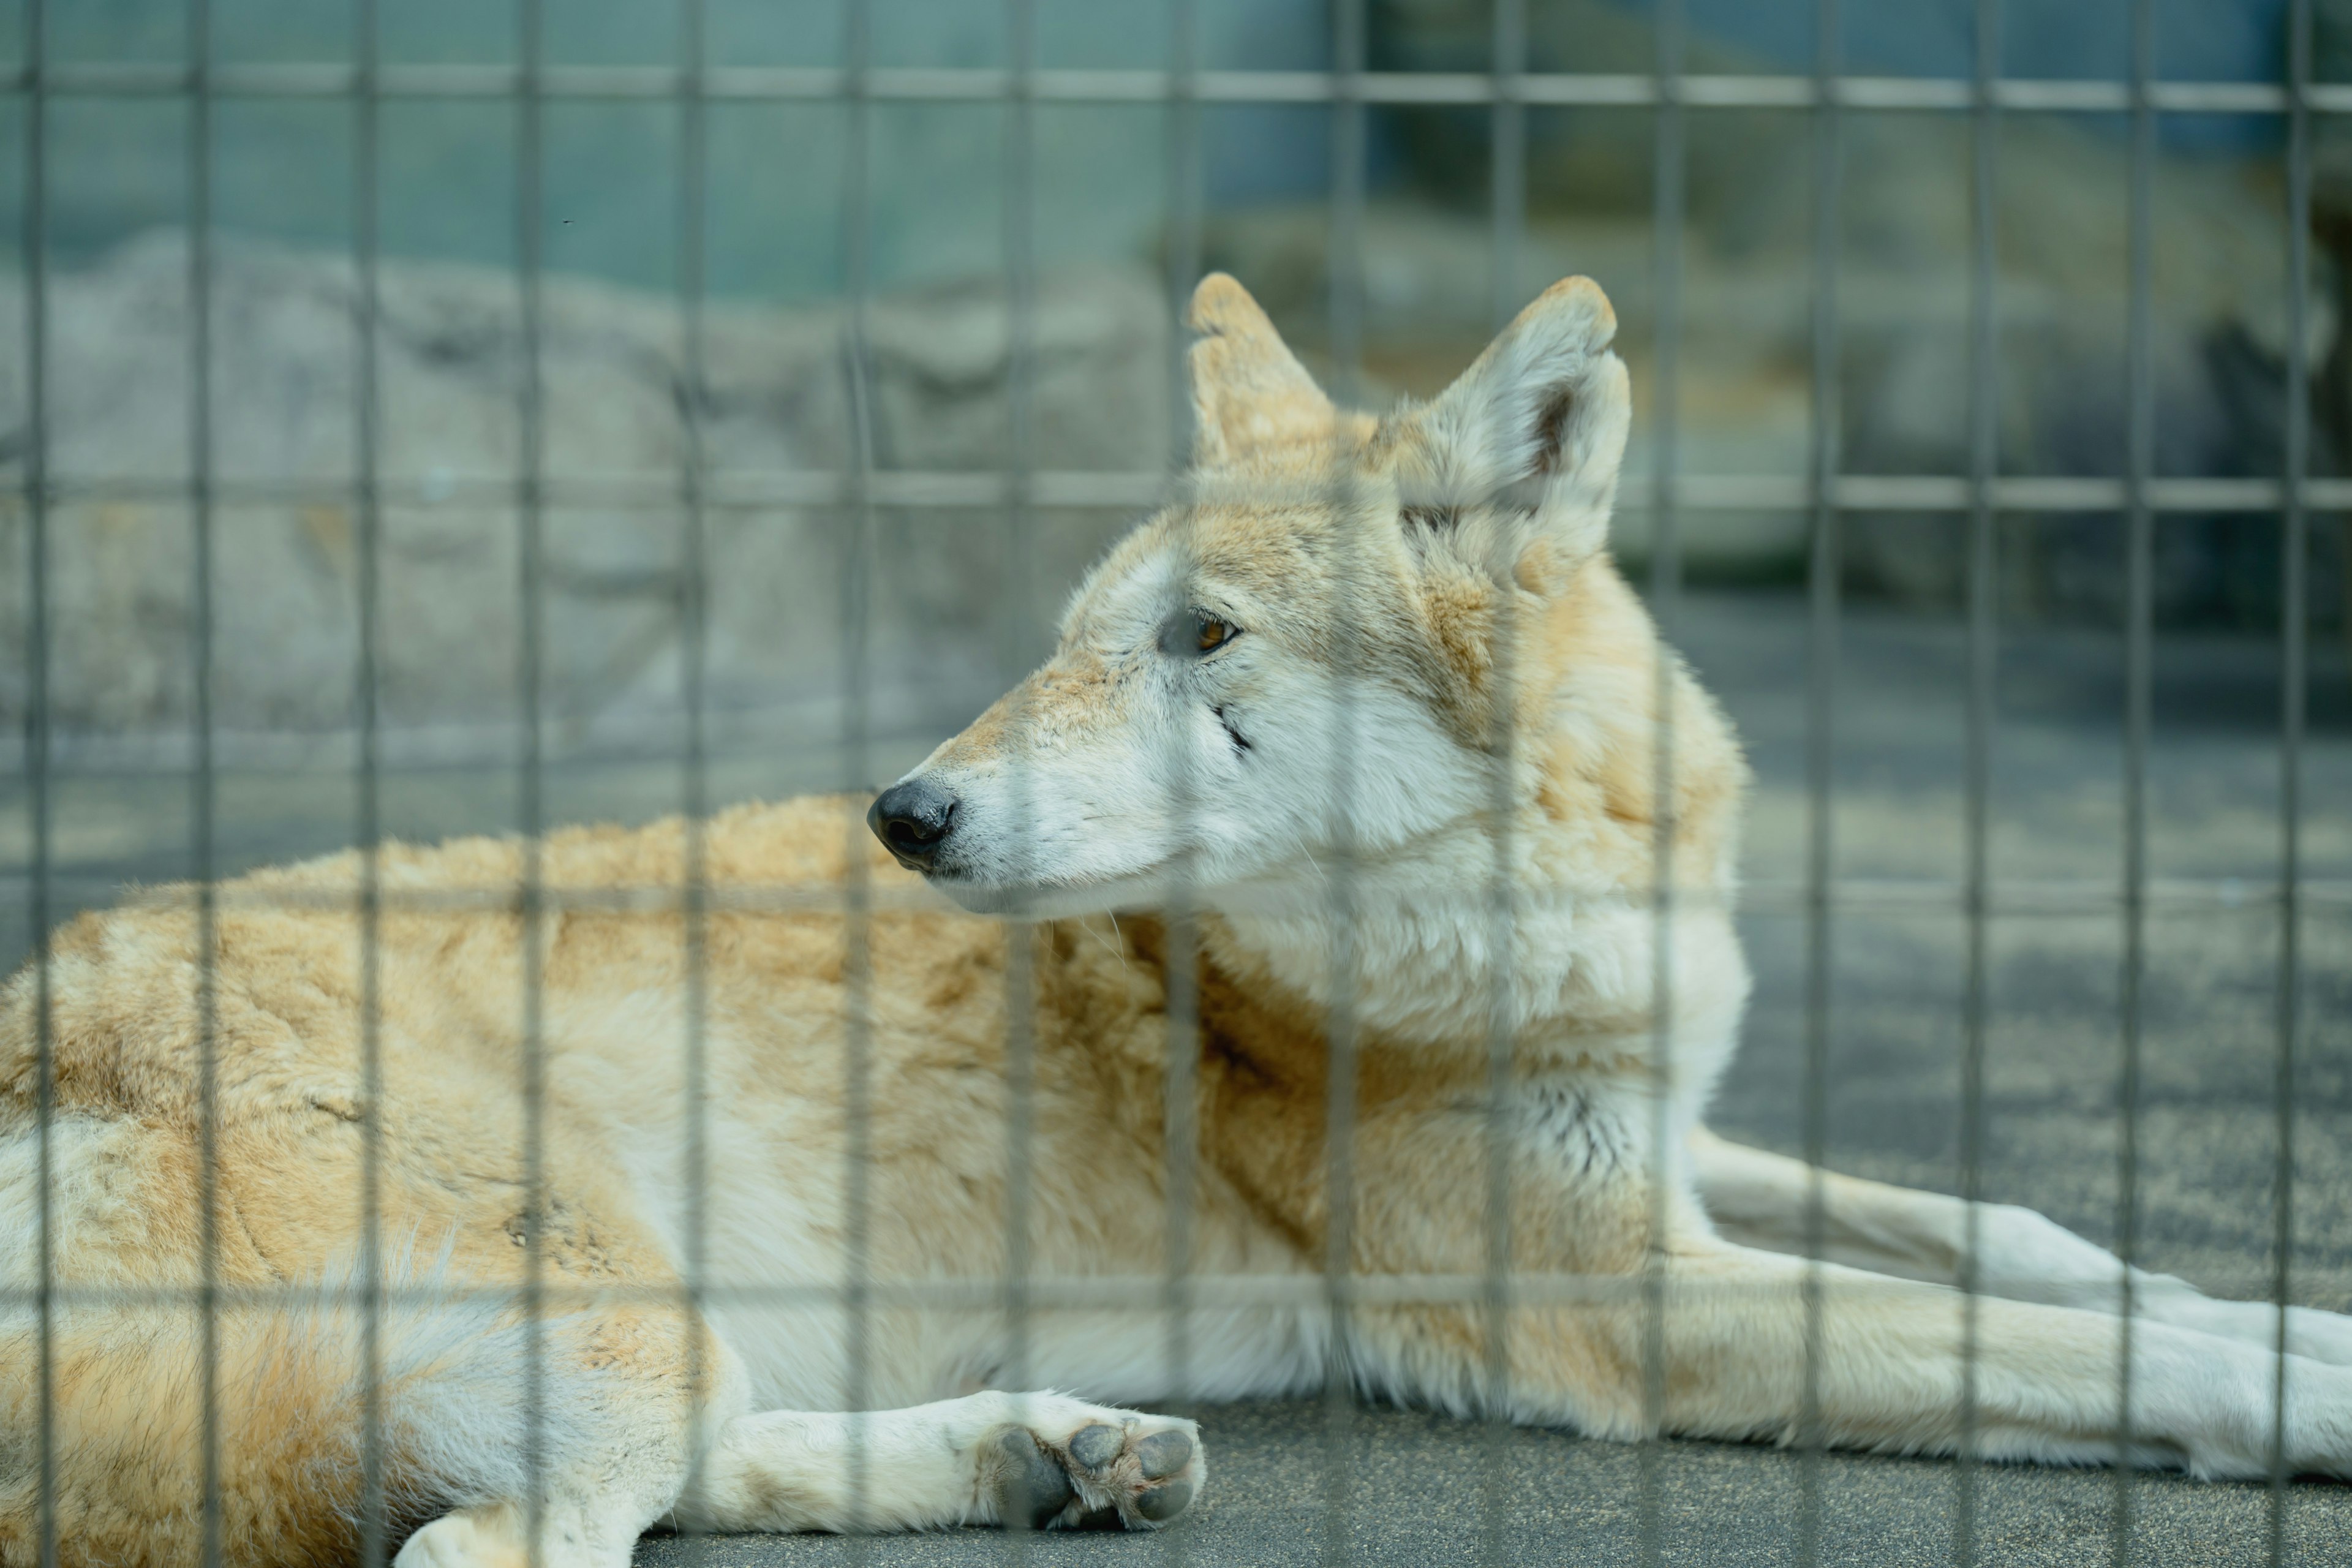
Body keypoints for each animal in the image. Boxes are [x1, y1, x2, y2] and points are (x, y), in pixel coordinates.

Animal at [4, 276, 2352, 1561]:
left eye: (1200, 636)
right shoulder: (1620, 1289)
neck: (1547, 912)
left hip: (666, 1339)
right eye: (1075, 637)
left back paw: (1057, 1455)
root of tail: (38, 1014)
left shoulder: (1670, 1147)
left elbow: (2039, 1245)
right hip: (616, 1323)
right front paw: (2297, 1391)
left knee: (683, 1482)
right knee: (498, 1546)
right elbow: (2072, 1340)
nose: (905, 813)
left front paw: (2272, 1308)